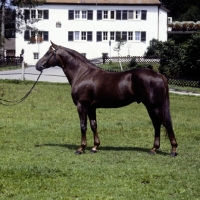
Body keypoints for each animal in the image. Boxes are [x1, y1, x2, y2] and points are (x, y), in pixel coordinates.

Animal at [36, 41, 178, 156]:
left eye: (48, 53)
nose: (38, 65)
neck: (82, 73)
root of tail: (160, 75)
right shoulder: (91, 107)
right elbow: (93, 125)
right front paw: (94, 147)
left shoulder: (82, 106)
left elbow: (83, 126)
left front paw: (81, 148)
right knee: (158, 124)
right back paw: (155, 149)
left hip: (154, 106)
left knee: (162, 124)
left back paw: (171, 150)